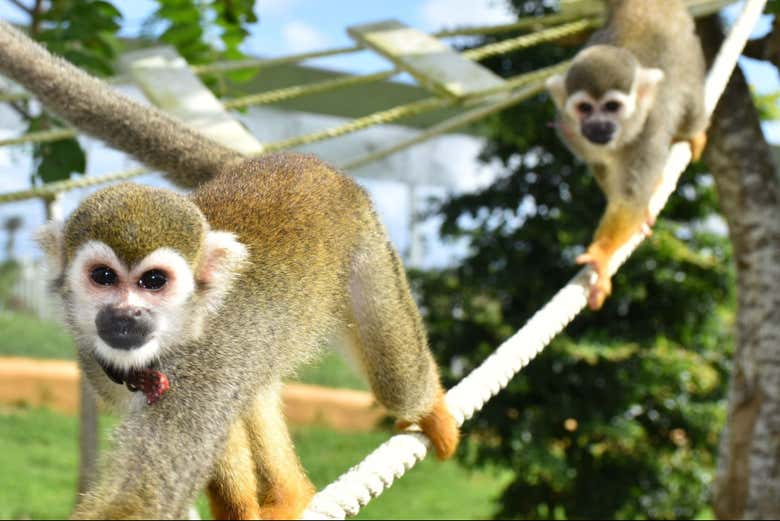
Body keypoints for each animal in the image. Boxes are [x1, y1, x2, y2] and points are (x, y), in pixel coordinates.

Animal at [0, 21, 459, 520]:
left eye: (154, 282)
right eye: (103, 277)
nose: (126, 315)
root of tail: (285, 161)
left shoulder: (206, 365)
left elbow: (147, 492)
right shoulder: (99, 363)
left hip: (366, 244)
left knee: (396, 381)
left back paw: (431, 411)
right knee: (254, 388)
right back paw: (290, 493)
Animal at [545, 0, 708, 310]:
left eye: (611, 107)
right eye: (585, 108)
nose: (599, 126)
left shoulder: (649, 130)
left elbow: (630, 198)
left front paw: (601, 255)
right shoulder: (569, 132)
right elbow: (600, 166)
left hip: (689, 54)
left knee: (691, 110)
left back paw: (695, 134)